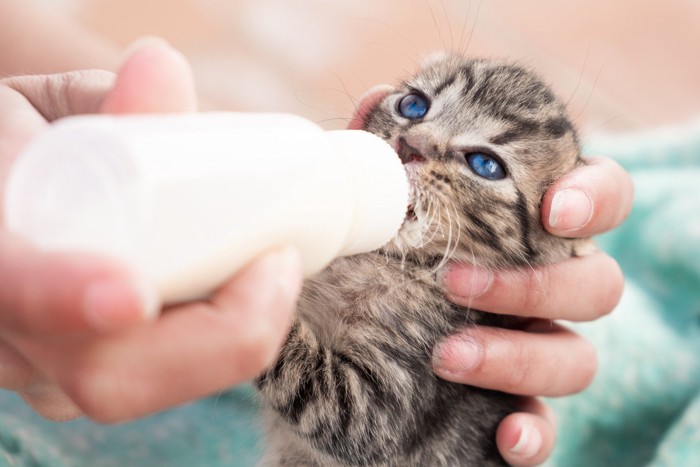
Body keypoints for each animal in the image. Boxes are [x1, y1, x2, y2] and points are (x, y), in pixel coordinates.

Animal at [256, 55, 592, 467]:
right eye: (414, 105)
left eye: (485, 165)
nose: (409, 145)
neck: (389, 260)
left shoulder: (380, 408)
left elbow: (309, 381)